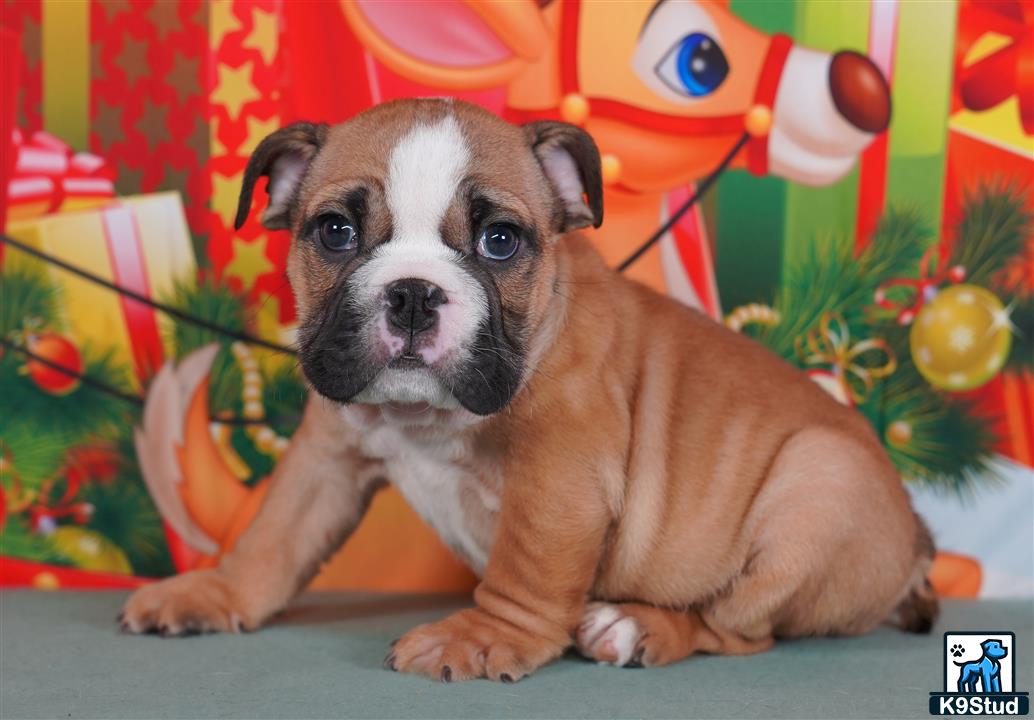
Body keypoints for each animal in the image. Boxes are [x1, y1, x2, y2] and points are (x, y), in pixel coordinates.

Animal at [118, 98, 938, 682]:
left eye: (500, 241)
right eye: (336, 232)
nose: (413, 292)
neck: (427, 417)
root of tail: (916, 545)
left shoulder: (559, 479)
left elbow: (526, 566)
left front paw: (483, 638)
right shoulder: (327, 457)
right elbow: (273, 537)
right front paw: (216, 593)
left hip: (817, 488)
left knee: (739, 628)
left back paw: (637, 626)